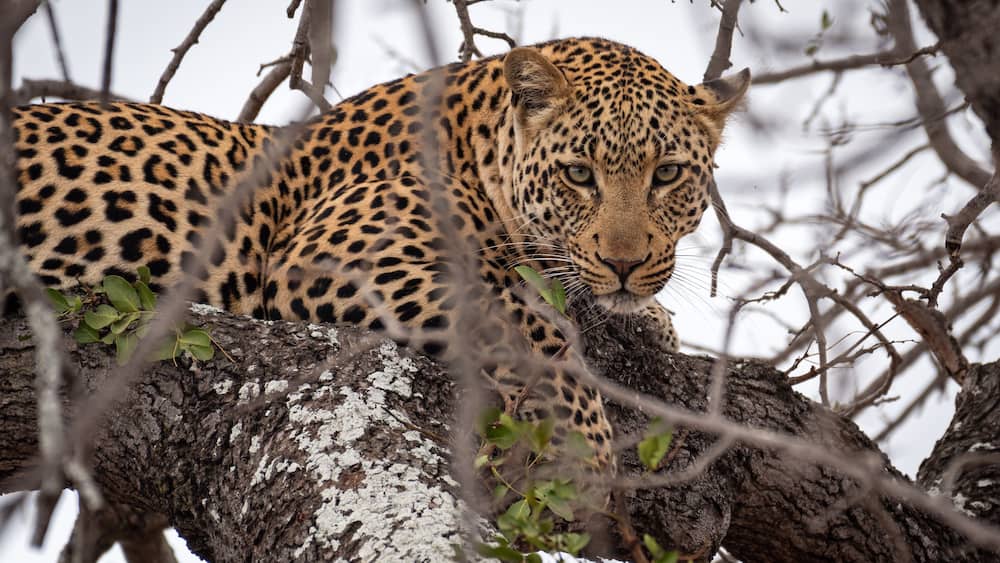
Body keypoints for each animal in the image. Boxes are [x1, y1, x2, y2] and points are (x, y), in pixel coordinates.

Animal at [12, 37, 748, 468]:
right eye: (578, 174)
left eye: (667, 174)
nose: (625, 264)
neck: (476, 148)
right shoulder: (331, 254)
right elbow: (519, 323)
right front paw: (585, 447)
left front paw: (650, 318)